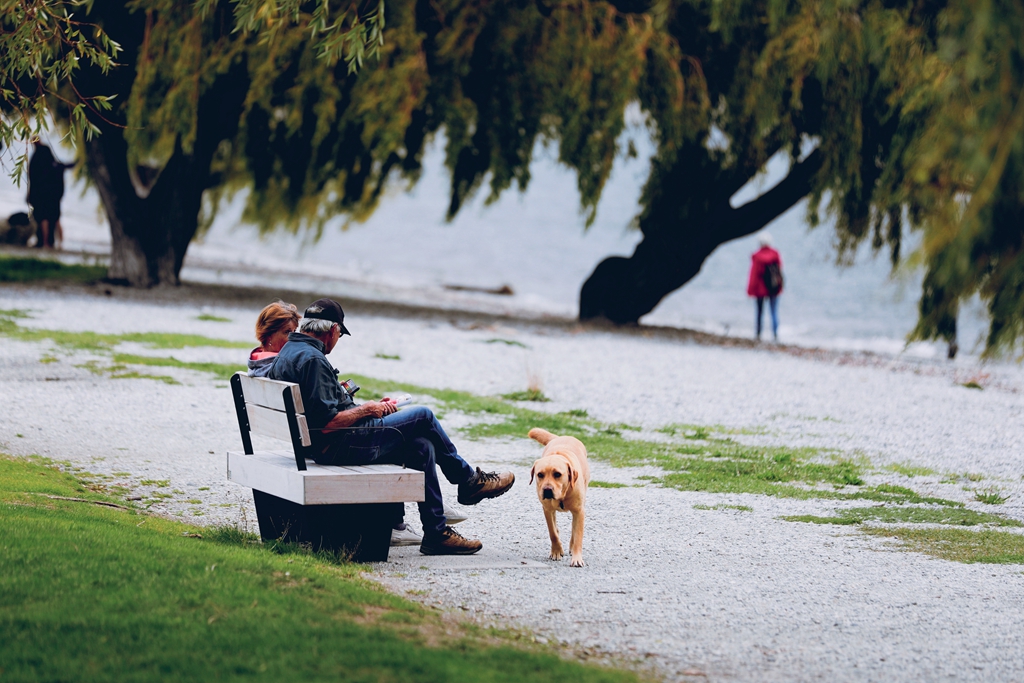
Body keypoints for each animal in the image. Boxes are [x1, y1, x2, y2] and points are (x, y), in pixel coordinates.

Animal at [528, 428, 593, 565]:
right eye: (540, 474)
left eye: (557, 474)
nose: (547, 490)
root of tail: (560, 437)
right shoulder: (547, 510)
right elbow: (553, 532)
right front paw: (556, 551)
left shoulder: (579, 511)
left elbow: (578, 536)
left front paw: (577, 558)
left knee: (574, 529)